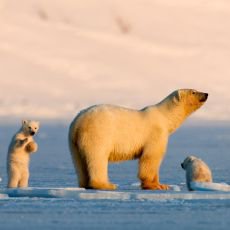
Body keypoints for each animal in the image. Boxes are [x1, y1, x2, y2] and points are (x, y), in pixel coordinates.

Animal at [68, 89, 208, 190]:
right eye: (193, 91)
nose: (206, 94)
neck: (165, 117)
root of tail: (78, 122)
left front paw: (162, 185)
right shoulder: (155, 133)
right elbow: (151, 157)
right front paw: (156, 186)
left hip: (73, 141)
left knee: (79, 162)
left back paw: (84, 184)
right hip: (98, 133)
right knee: (97, 157)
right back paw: (106, 185)